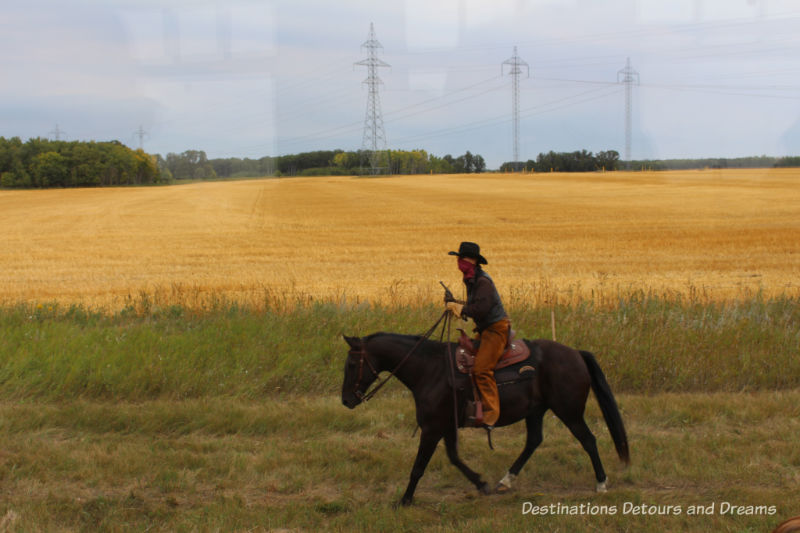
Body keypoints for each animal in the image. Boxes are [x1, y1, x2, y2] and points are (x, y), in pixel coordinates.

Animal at [340, 330, 628, 504]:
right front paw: (481, 483)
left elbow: (419, 466)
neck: (429, 369)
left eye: (352, 364)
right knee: (534, 441)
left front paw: (405, 500)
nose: (346, 400)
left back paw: (601, 483)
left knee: (588, 440)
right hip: (536, 411)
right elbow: (454, 458)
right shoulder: (446, 427)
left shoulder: (432, 428)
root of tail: (576, 353)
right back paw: (505, 482)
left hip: (569, 412)